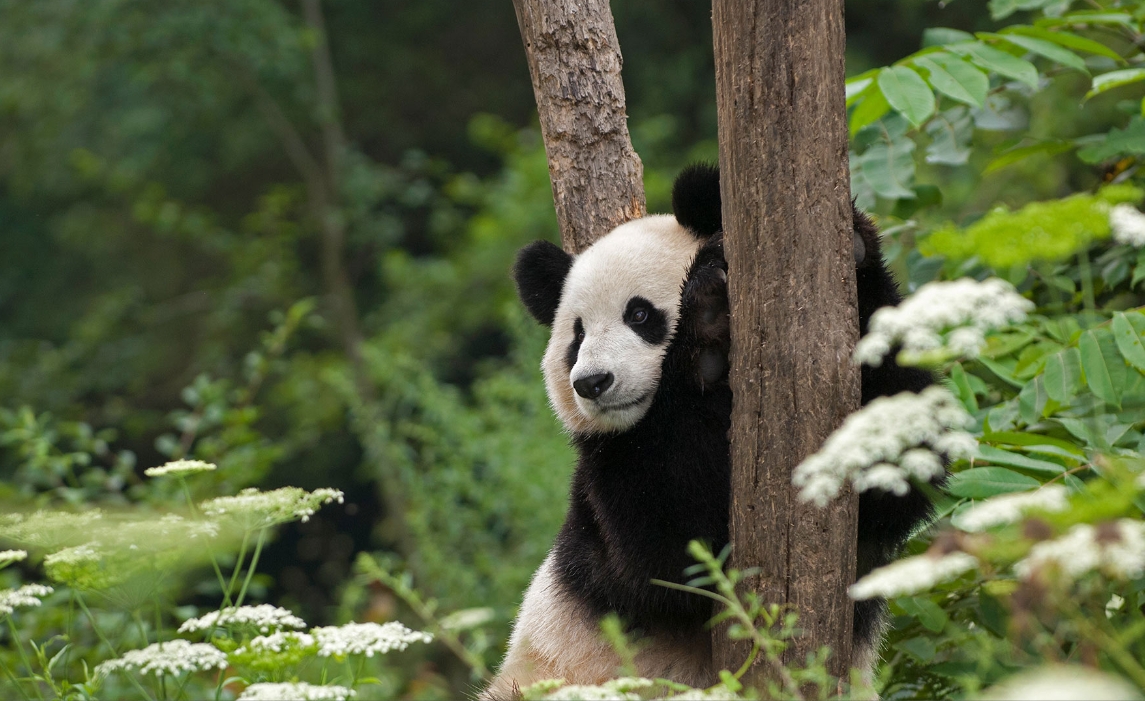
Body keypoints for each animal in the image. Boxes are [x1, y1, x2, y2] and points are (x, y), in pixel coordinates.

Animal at [485, 166, 938, 701]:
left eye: (639, 315)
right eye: (576, 337)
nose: (591, 383)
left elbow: (900, 472)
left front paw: (854, 245)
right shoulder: (604, 493)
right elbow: (673, 556)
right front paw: (705, 327)